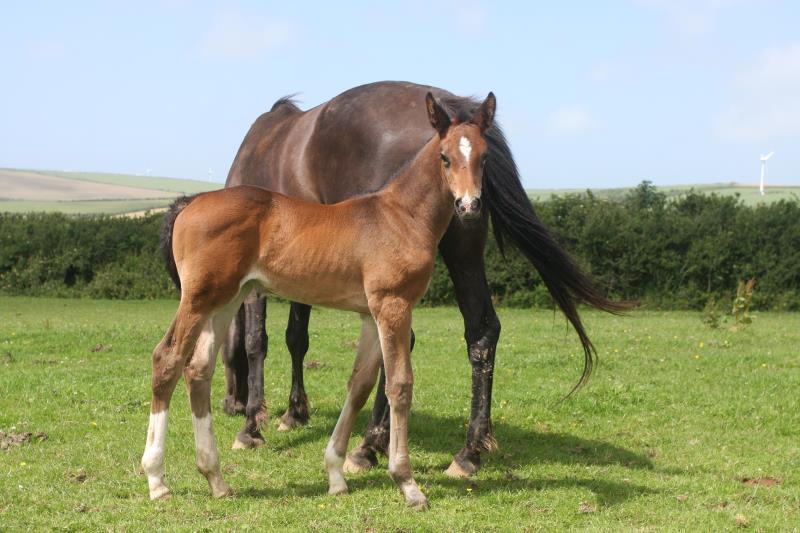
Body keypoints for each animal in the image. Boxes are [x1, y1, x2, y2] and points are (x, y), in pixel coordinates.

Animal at [141, 92, 496, 508]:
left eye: (485, 156)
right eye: (444, 156)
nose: (469, 206)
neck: (400, 215)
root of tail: (190, 205)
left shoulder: (369, 313)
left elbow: (359, 385)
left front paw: (337, 473)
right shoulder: (392, 305)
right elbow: (399, 385)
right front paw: (407, 483)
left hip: (226, 300)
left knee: (198, 369)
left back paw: (216, 479)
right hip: (198, 299)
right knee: (167, 359)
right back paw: (157, 480)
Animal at [222, 81, 620, 476]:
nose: (230, 403)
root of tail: (450, 104)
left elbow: (255, 341)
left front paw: (252, 427)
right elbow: (296, 338)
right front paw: (294, 412)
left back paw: (369, 445)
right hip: (464, 249)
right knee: (482, 331)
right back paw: (469, 451)